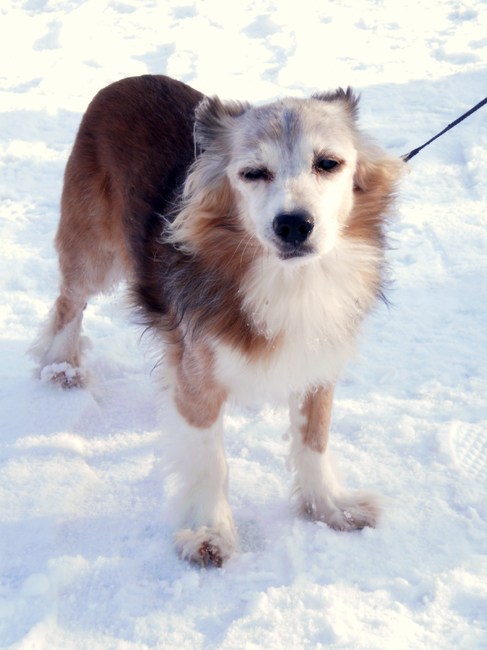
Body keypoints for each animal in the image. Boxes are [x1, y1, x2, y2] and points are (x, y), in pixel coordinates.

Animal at [31, 74, 404, 566]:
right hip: (92, 250)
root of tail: (128, 80)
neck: (288, 279)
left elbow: (314, 439)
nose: (293, 225)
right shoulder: (199, 377)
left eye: (328, 163)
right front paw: (209, 532)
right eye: (253, 173)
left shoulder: (317, 360)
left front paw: (328, 507)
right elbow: (210, 460)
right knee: (68, 303)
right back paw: (62, 366)